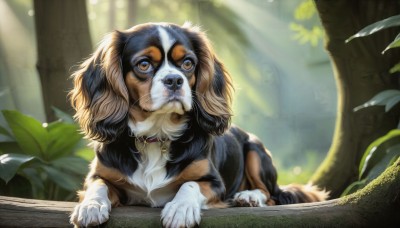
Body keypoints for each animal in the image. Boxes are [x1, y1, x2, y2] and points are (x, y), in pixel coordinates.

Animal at [69, 22, 326, 227]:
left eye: (187, 63)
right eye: (143, 64)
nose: (174, 80)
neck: (157, 134)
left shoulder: (215, 183)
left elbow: (190, 185)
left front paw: (180, 209)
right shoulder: (100, 174)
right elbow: (98, 185)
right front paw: (91, 206)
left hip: (255, 149)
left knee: (270, 194)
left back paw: (249, 196)